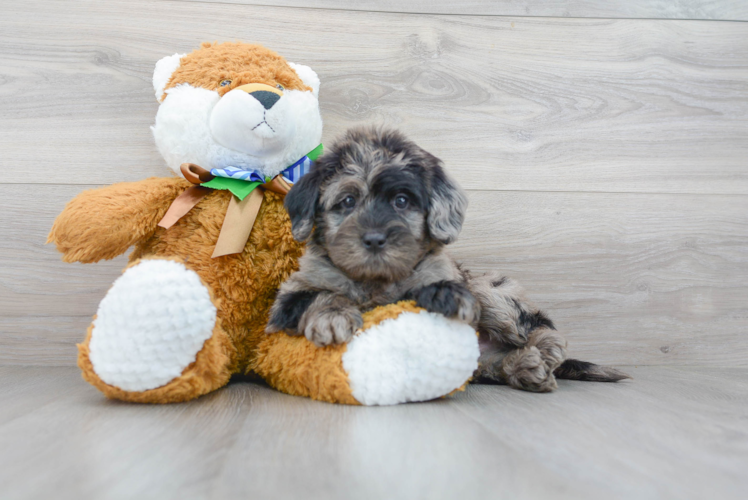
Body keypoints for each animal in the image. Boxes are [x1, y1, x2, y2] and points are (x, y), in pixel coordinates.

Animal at [266, 127, 628, 392]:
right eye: (347, 201)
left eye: (401, 201)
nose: (375, 239)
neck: (376, 281)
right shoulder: (289, 299)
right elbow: (320, 294)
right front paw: (333, 316)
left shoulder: (444, 271)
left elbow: (441, 286)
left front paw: (445, 296)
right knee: (491, 364)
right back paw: (526, 367)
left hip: (491, 293)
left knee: (534, 325)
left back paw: (545, 351)